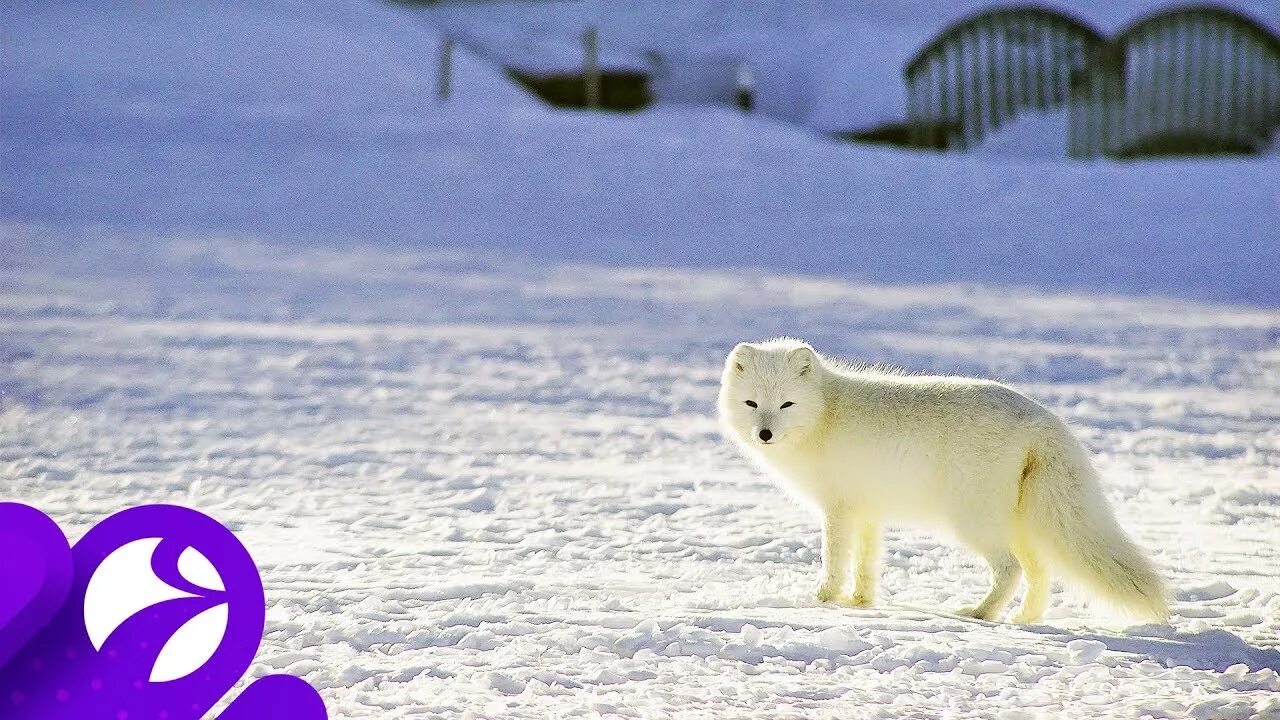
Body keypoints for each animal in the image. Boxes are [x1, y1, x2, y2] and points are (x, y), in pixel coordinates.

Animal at [721, 338, 1172, 622]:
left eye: (786, 404)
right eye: (752, 403)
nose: (765, 433)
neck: (824, 415)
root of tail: (1043, 418)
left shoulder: (839, 509)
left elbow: (834, 561)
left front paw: (821, 600)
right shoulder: (868, 511)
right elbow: (866, 564)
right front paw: (861, 602)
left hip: (972, 520)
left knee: (1010, 569)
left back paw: (982, 613)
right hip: (1021, 524)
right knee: (1040, 573)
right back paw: (1024, 619)